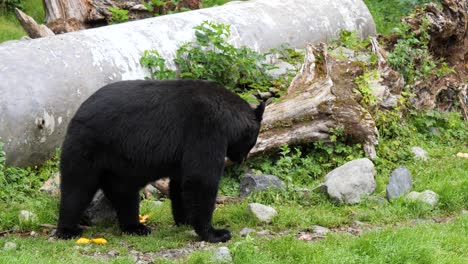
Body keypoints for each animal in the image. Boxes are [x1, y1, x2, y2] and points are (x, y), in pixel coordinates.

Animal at [55, 79, 264, 242]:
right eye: (252, 140)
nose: (242, 159)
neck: (227, 116)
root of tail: (76, 114)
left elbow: (181, 182)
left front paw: (185, 220)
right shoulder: (206, 130)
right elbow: (201, 179)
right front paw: (216, 233)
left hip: (119, 162)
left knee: (124, 193)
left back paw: (135, 227)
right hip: (89, 146)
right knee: (77, 188)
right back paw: (68, 230)